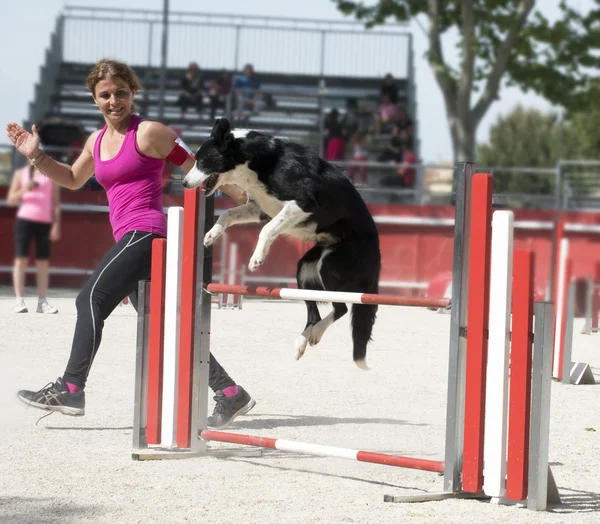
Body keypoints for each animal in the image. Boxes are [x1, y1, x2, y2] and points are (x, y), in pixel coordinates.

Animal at [182, 118, 380, 368]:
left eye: (203, 161)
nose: (183, 182)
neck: (254, 160)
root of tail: (378, 254)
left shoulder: (303, 203)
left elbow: (267, 230)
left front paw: (256, 259)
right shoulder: (260, 208)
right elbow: (228, 213)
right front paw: (211, 235)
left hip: (330, 265)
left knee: (341, 306)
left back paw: (315, 333)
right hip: (304, 269)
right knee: (315, 312)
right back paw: (303, 341)